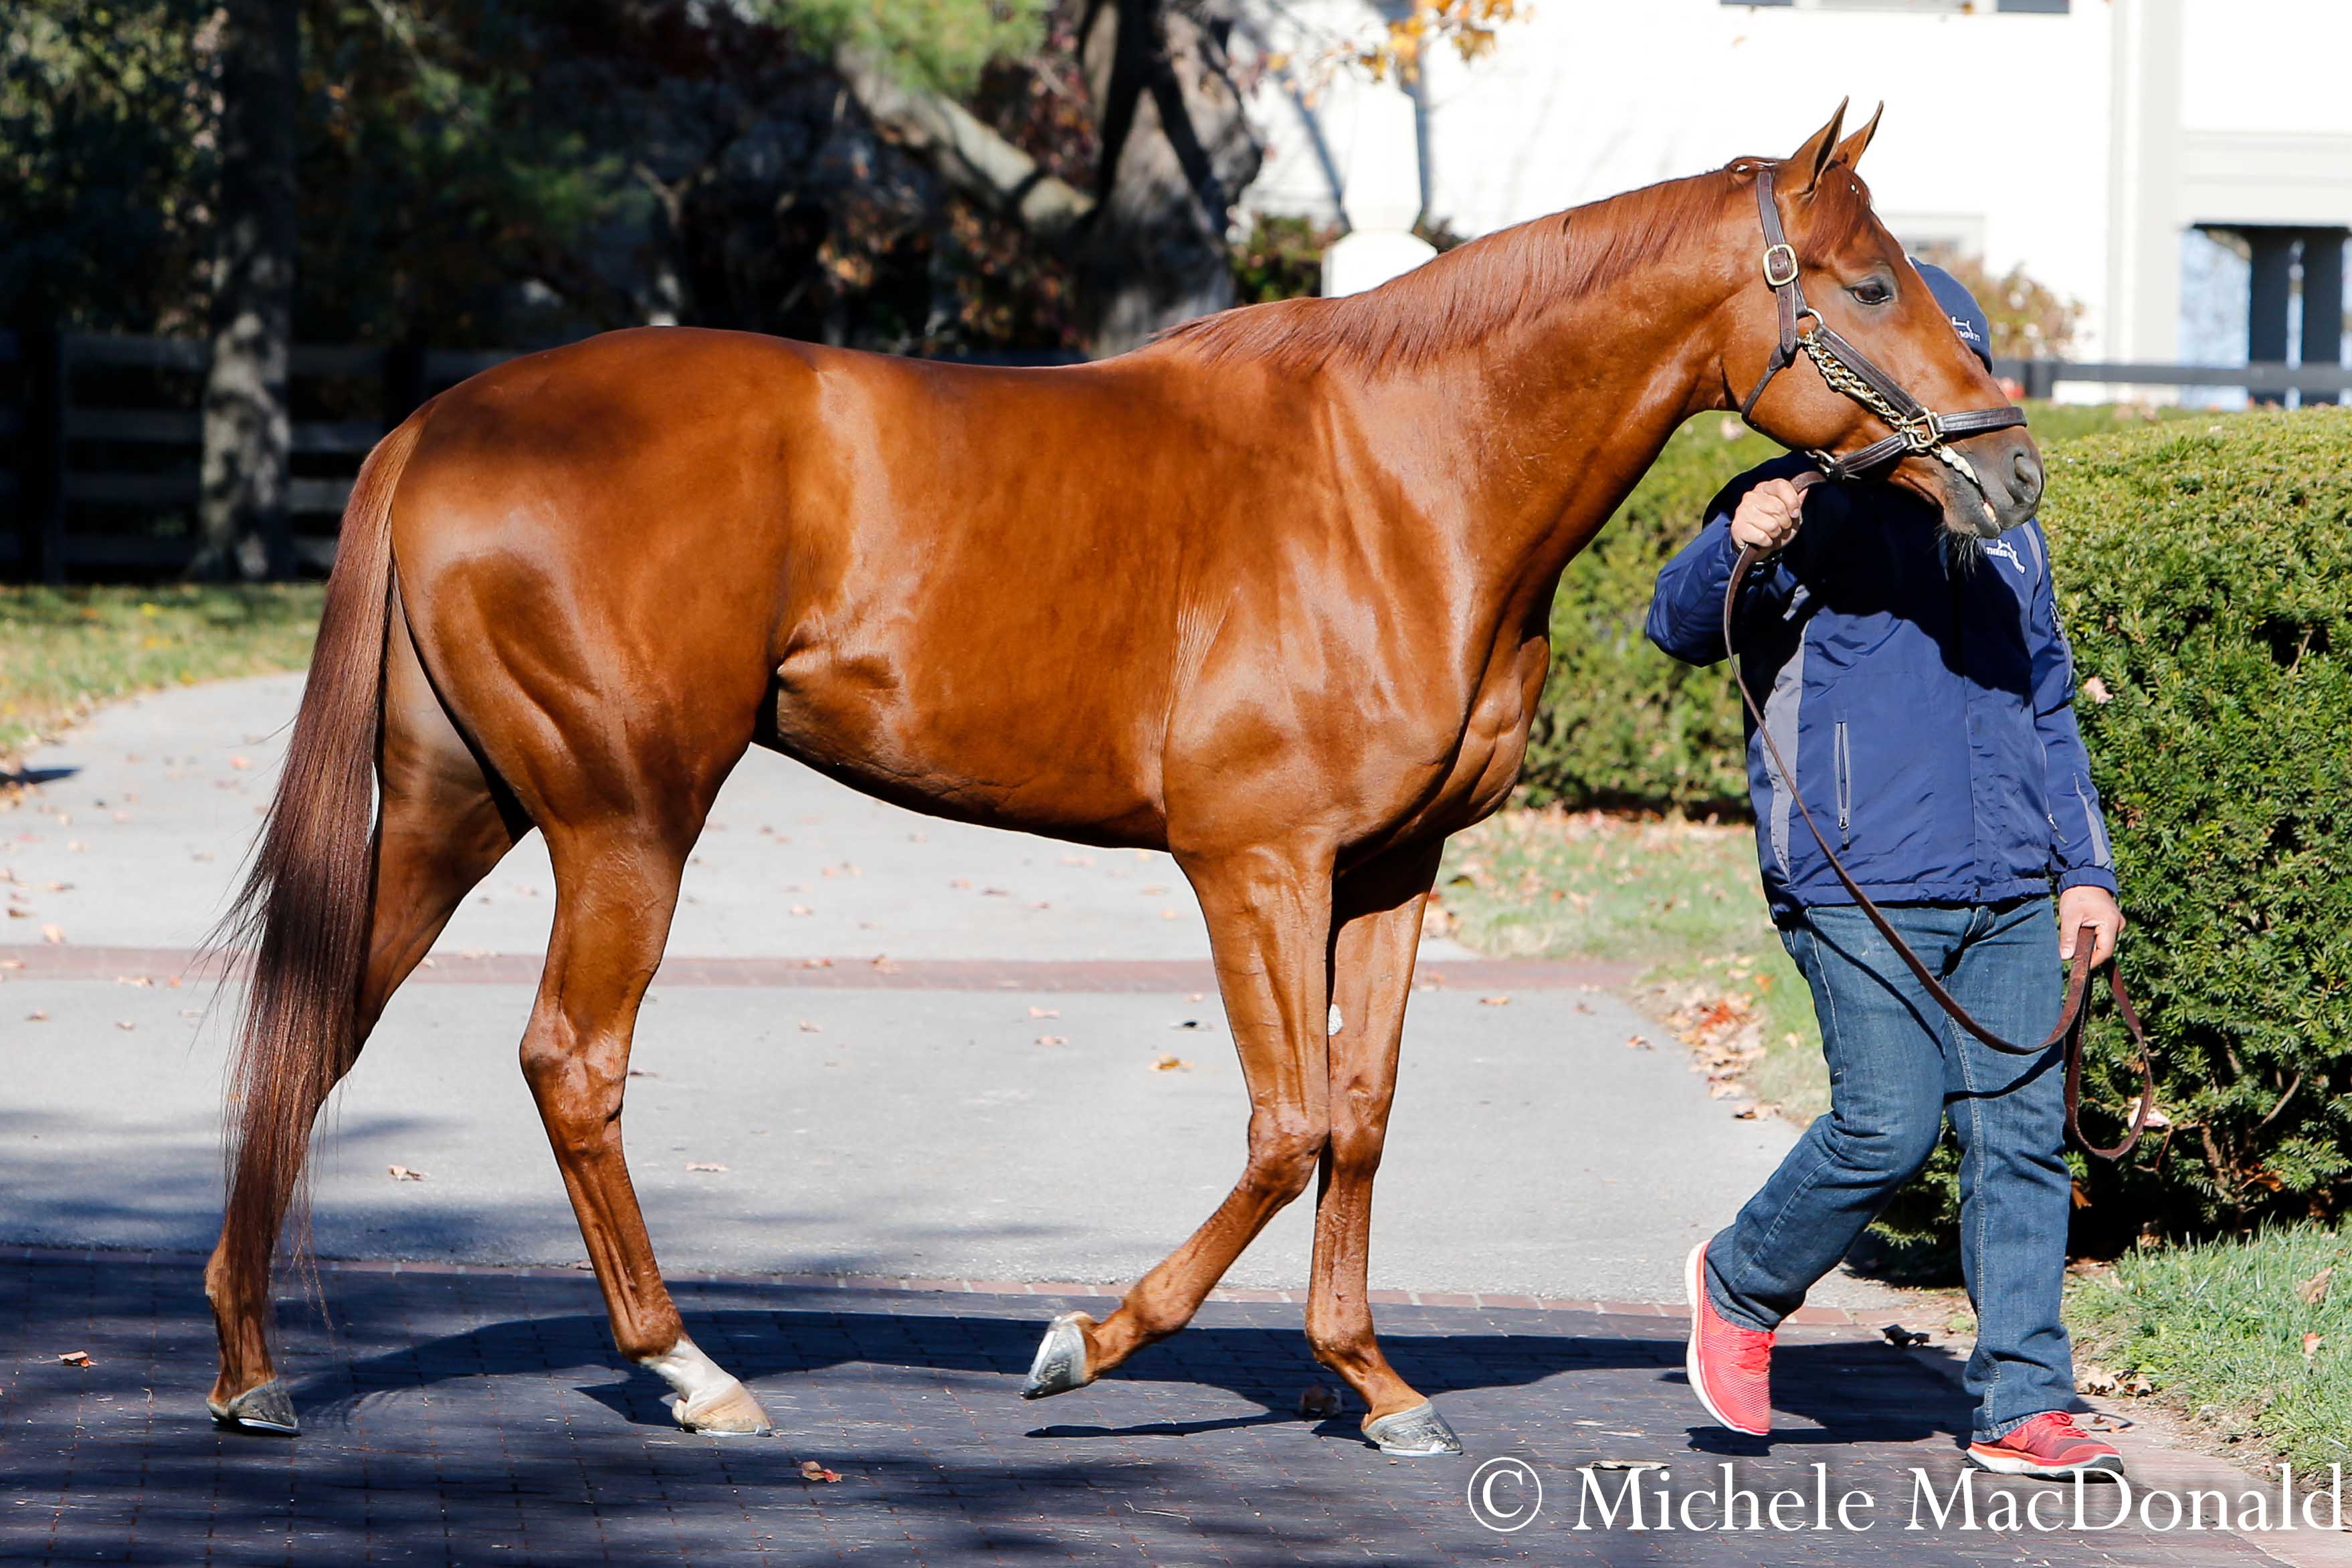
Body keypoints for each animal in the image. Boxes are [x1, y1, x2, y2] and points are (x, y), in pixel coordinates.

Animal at [202, 107, 2041, 1457]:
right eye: (1870, 289)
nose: (2012, 472)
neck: (1401, 475)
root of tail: (439, 425)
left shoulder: (1393, 867)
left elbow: (1363, 1114)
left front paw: (1368, 1381)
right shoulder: (1252, 860)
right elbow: (1289, 1124)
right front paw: (1083, 1340)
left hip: (463, 804)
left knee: (319, 1026)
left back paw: (246, 1359)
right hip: (623, 819)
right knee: (570, 1061)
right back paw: (692, 1369)